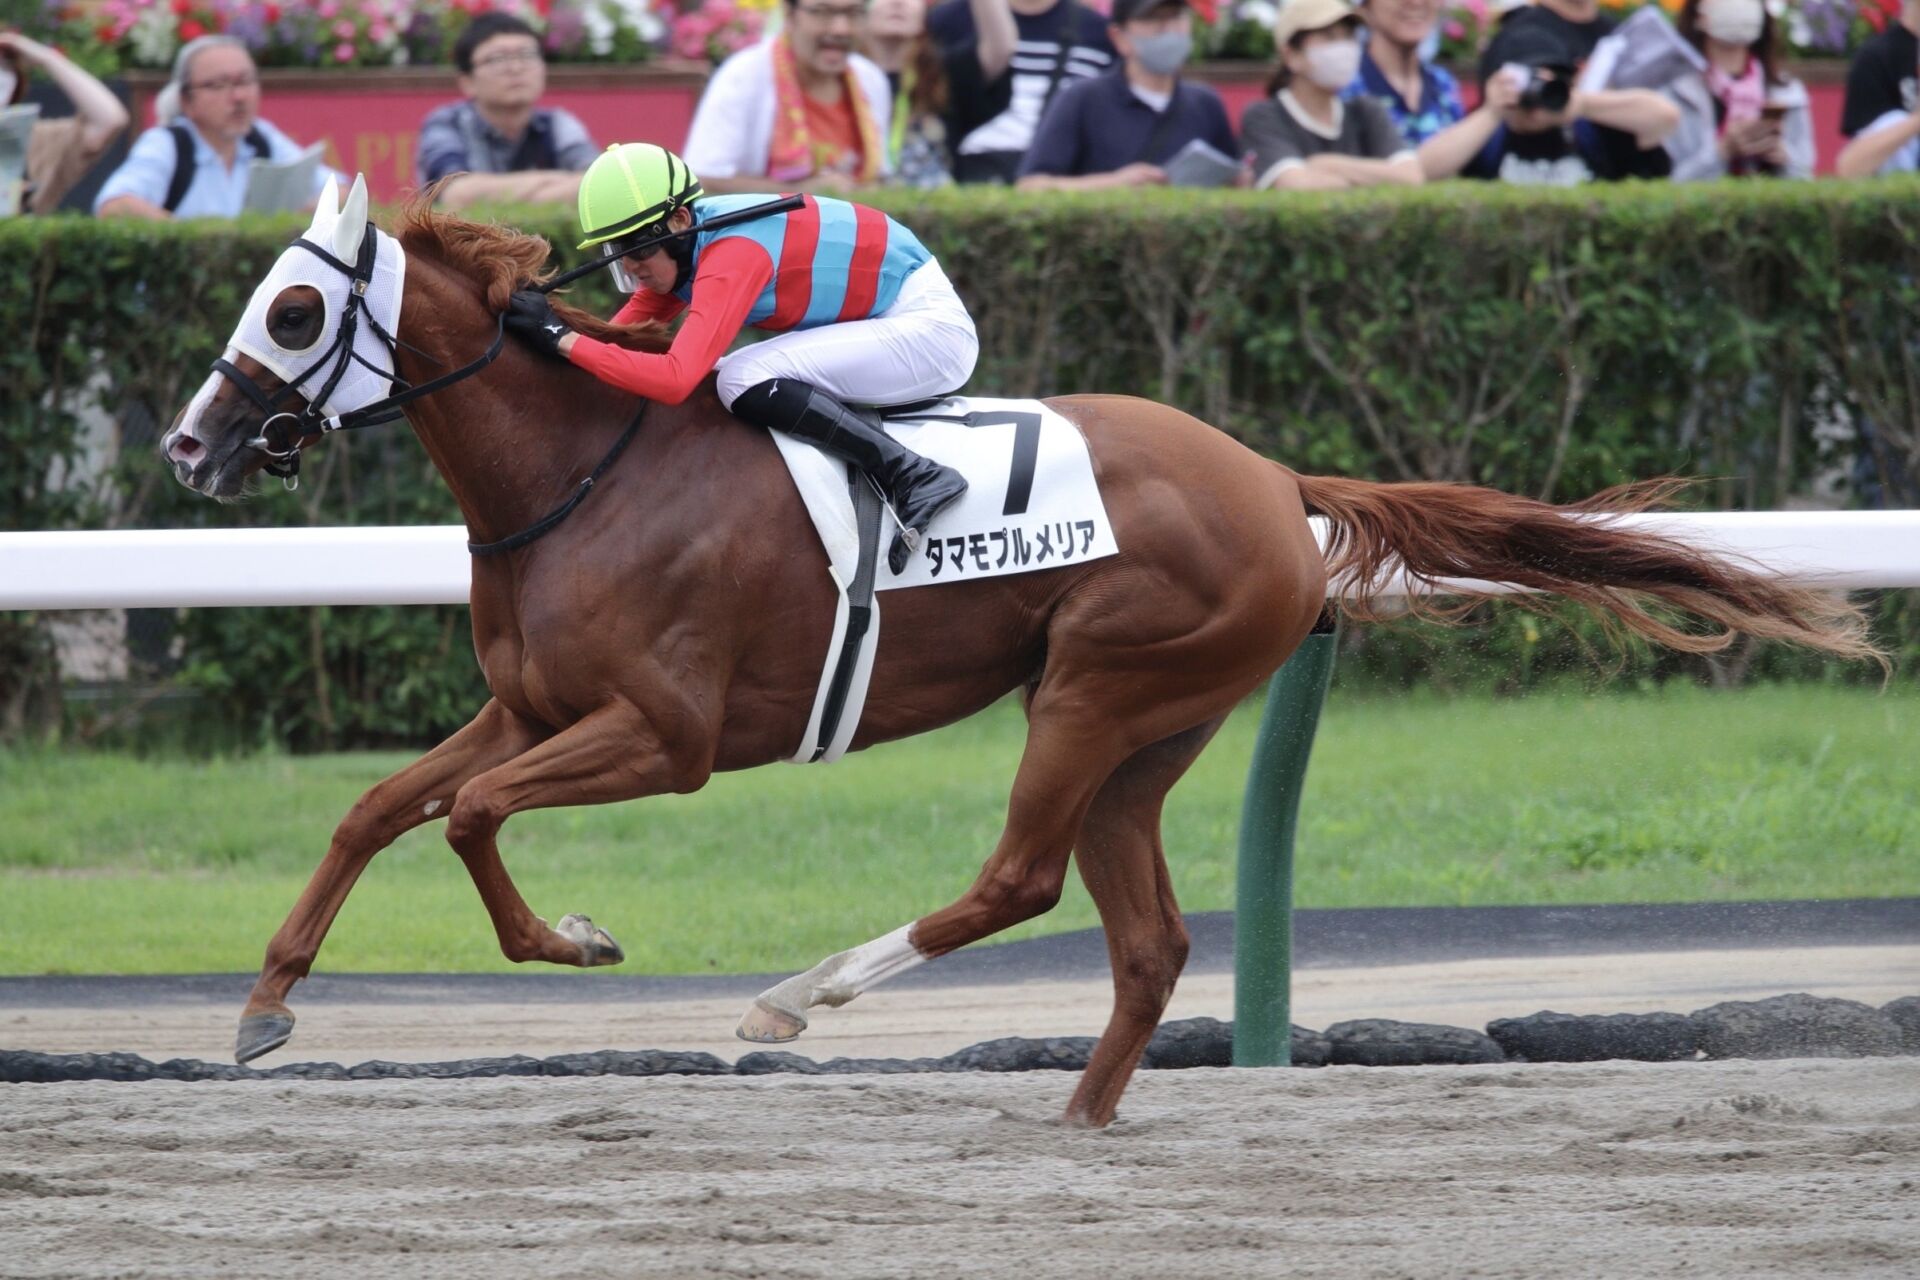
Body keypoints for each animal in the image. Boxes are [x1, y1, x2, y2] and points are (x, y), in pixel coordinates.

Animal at [165, 177, 1873, 1120]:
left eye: (298, 310)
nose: (190, 446)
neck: (588, 468)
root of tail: (1276, 480)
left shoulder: (668, 735)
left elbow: (467, 818)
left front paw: (573, 942)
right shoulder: (532, 705)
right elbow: (378, 808)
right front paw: (264, 1006)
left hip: (1100, 687)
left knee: (1018, 882)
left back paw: (801, 999)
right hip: (1151, 725)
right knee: (1146, 936)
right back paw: (1077, 1118)